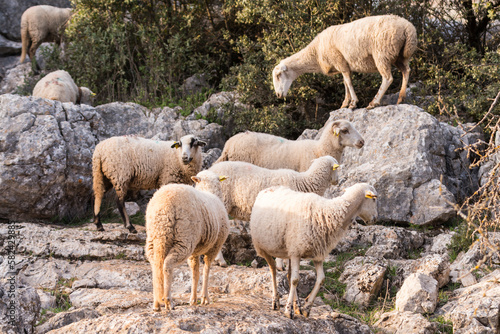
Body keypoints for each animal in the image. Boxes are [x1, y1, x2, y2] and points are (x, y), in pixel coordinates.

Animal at [146, 171, 229, 312]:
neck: (210, 191)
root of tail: (163, 206)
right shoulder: (214, 247)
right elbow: (206, 270)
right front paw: (205, 298)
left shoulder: (194, 252)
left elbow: (194, 272)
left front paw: (193, 299)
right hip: (184, 238)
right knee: (167, 265)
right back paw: (168, 301)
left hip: (154, 238)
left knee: (155, 265)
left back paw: (156, 303)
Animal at [207, 155, 340, 268]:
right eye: (337, 168)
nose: (337, 181)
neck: (303, 182)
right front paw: (281, 265)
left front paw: (285, 263)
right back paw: (221, 261)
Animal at [250, 183, 378, 318]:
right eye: (374, 199)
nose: (375, 218)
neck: (329, 212)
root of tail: (268, 188)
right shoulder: (296, 252)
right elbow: (295, 280)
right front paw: (288, 310)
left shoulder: (317, 254)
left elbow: (321, 279)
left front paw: (306, 307)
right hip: (263, 248)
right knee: (273, 270)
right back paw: (276, 301)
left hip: (289, 250)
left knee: (289, 275)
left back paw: (297, 306)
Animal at [274, 15, 418, 109]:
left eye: (278, 75)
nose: (278, 95)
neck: (315, 52)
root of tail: (408, 28)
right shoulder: (342, 64)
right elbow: (345, 82)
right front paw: (345, 103)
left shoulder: (339, 60)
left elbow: (348, 82)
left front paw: (353, 103)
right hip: (400, 56)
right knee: (406, 71)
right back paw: (401, 98)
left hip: (382, 53)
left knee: (387, 78)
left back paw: (373, 102)